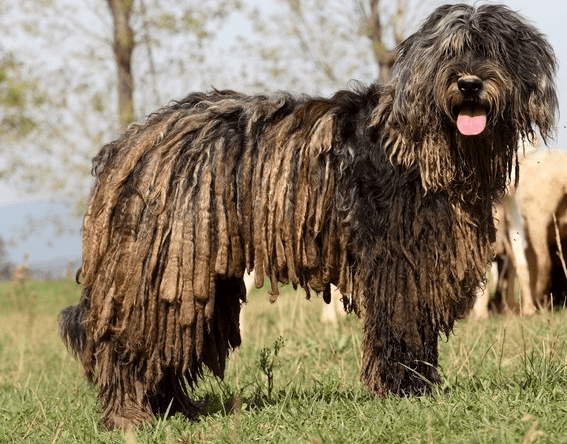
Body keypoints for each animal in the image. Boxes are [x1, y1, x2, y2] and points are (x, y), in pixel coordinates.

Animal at [60, 3, 556, 430]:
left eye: (492, 50)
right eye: (450, 51)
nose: (469, 83)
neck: (428, 149)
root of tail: (133, 140)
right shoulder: (399, 260)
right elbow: (401, 324)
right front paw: (405, 389)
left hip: (196, 281)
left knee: (170, 343)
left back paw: (173, 406)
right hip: (162, 268)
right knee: (131, 342)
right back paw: (130, 413)